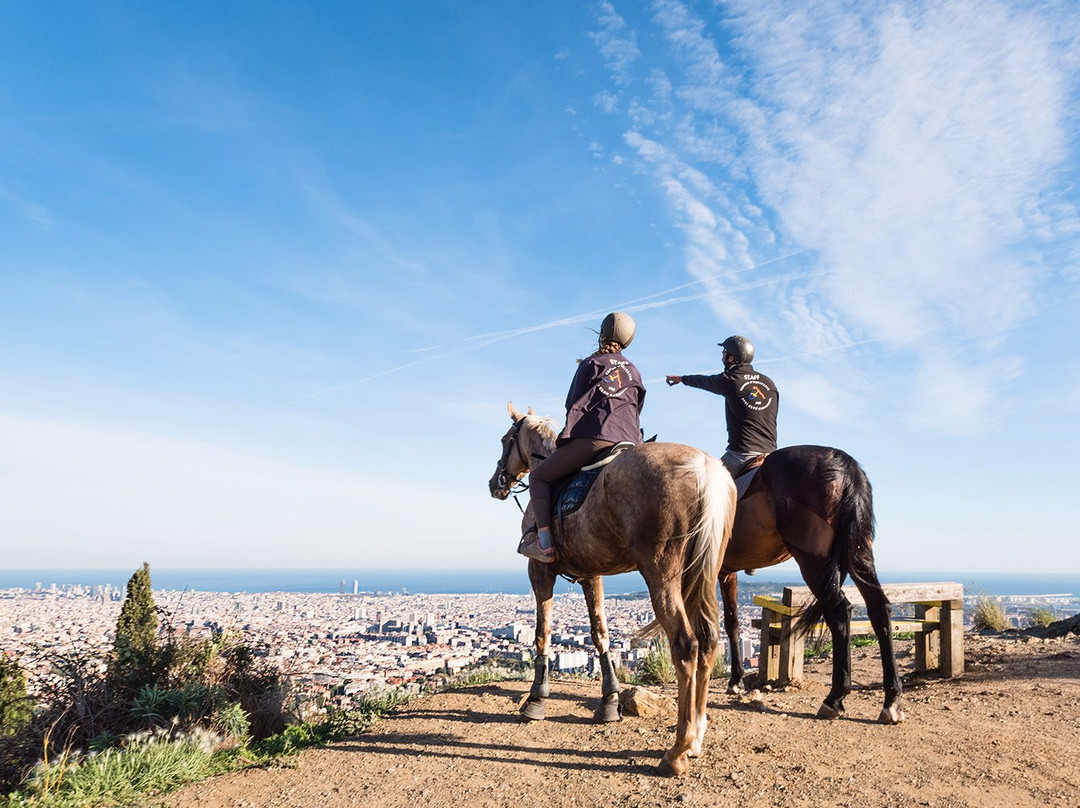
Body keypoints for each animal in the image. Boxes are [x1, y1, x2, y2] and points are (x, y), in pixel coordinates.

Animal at [490, 404, 734, 777]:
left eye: (506, 440)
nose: (496, 483)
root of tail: (706, 469)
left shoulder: (539, 569)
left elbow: (542, 632)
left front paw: (535, 699)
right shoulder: (592, 573)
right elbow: (599, 633)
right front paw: (609, 701)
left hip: (661, 571)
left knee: (686, 644)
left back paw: (677, 749)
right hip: (704, 571)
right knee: (708, 640)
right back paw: (695, 739)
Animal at [721, 445, 907, 721]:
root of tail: (847, 466)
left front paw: (734, 681)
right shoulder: (725, 570)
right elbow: (732, 621)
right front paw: (736, 680)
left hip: (813, 560)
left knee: (838, 612)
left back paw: (835, 698)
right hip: (858, 552)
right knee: (879, 608)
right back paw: (891, 700)